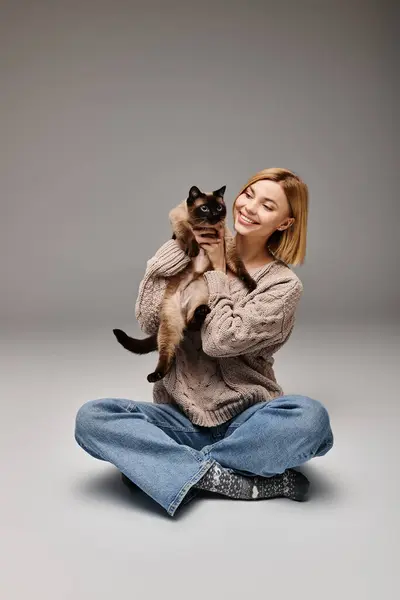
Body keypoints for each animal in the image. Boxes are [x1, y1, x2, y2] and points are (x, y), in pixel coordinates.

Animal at [112, 183, 256, 382]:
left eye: (219, 208)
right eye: (205, 208)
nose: (214, 215)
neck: (206, 230)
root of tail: (184, 307)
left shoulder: (227, 244)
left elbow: (241, 268)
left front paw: (252, 285)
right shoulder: (177, 218)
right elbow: (187, 232)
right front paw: (193, 249)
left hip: (200, 296)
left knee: (191, 324)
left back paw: (200, 313)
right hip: (170, 324)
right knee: (167, 350)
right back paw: (155, 375)